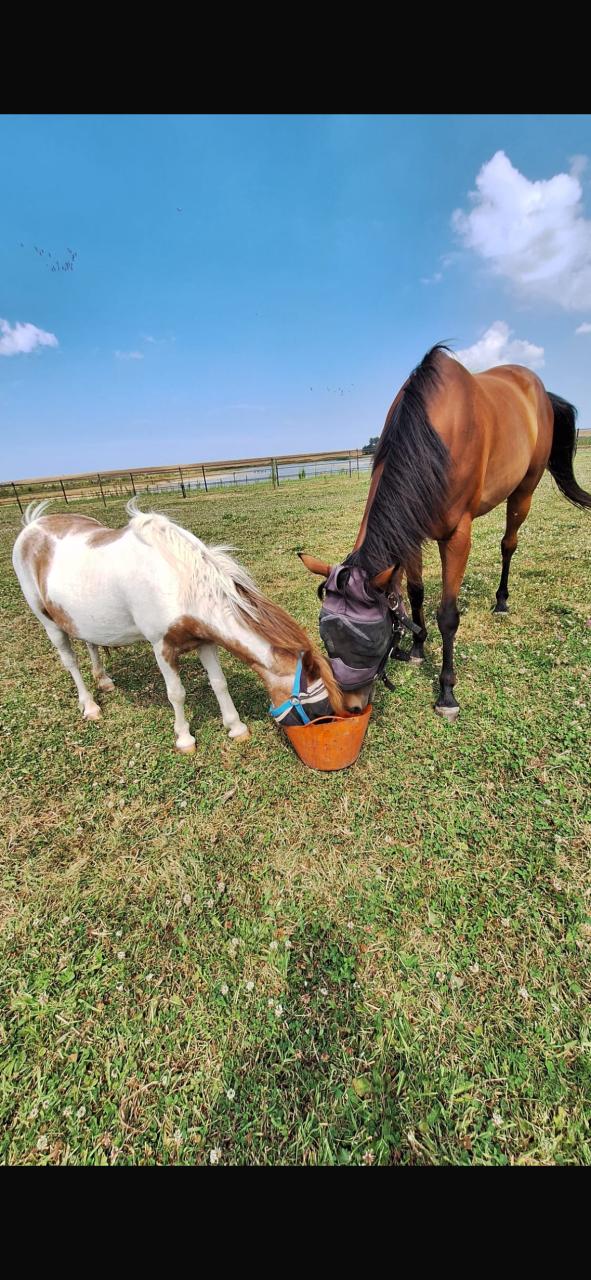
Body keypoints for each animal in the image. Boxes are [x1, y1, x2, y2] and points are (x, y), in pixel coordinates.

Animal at [12, 499, 344, 752]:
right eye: (318, 709)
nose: (325, 731)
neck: (179, 581)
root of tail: (32, 526)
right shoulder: (162, 646)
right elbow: (177, 693)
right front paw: (185, 739)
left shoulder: (205, 640)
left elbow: (219, 683)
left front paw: (236, 727)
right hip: (49, 623)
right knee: (70, 661)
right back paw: (90, 706)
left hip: (79, 617)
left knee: (90, 643)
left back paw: (103, 680)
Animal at [300, 343, 591, 721]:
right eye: (325, 637)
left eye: (370, 642)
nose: (351, 706)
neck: (435, 436)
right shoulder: (411, 535)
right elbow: (415, 593)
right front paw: (417, 647)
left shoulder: (456, 537)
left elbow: (448, 615)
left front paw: (447, 692)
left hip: (523, 493)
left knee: (509, 544)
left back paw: (501, 601)